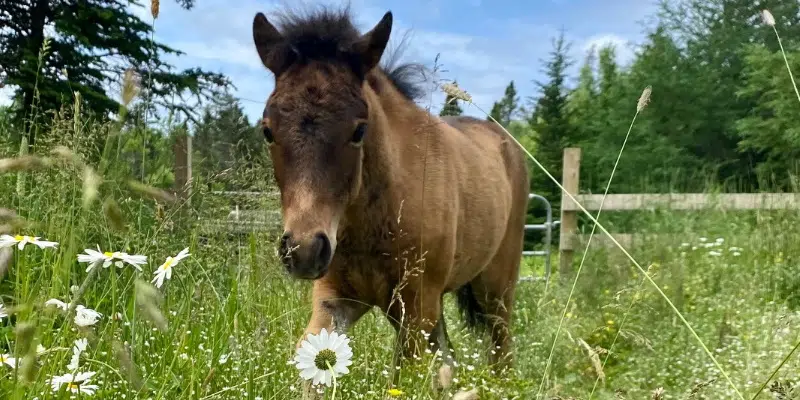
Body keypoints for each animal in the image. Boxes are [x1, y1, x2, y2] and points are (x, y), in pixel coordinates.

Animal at [250, 4, 532, 394]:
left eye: (359, 130)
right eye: (267, 130)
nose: (304, 251)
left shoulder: (415, 308)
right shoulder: (335, 297)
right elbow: (312, 366)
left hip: (495, 290)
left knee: (502, 351)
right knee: (448, 360)